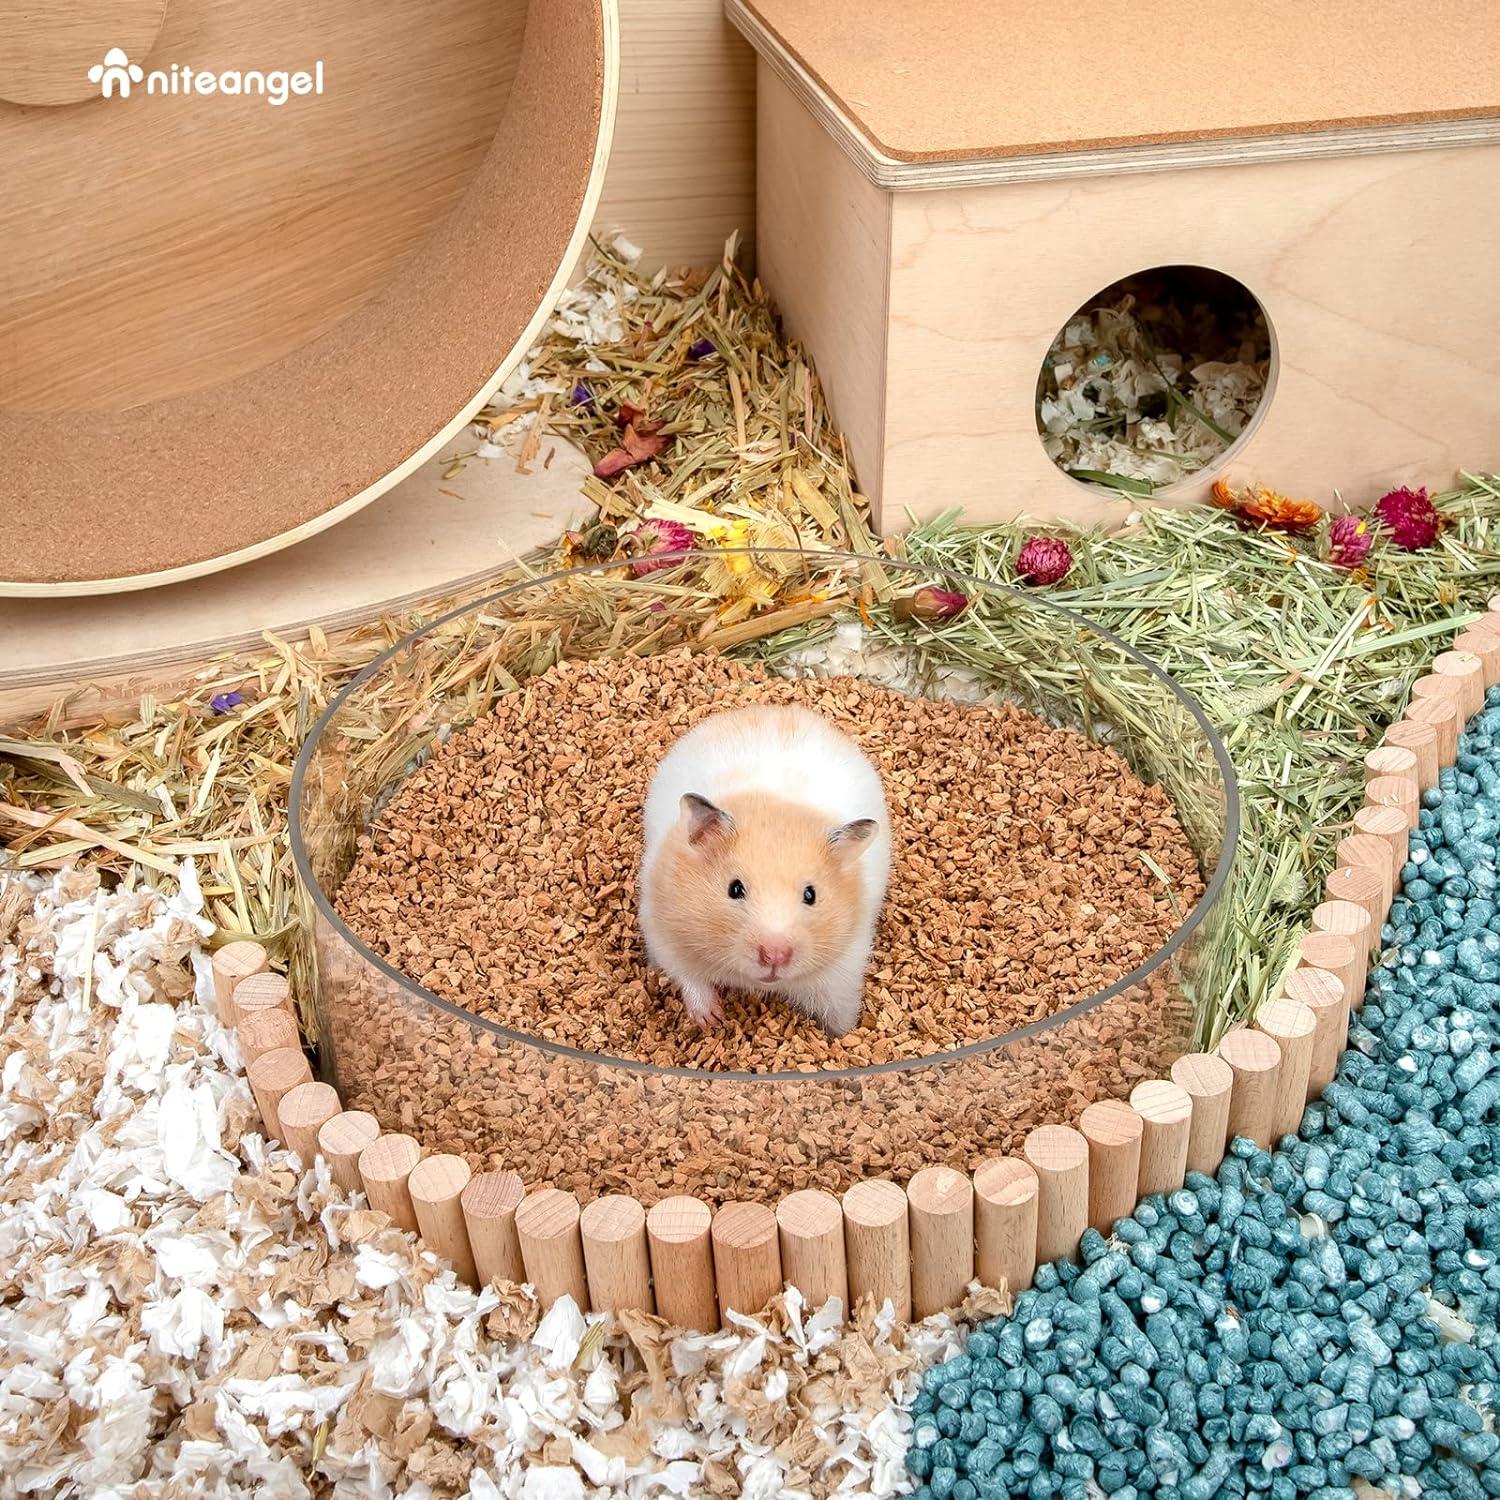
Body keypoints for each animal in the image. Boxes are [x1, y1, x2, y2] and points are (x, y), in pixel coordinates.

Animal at [639, 704, 890, 1037]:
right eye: (734, 889)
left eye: (810, 895)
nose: (775, 956)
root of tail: (772, 708)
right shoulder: (665, 934)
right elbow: (690, 979)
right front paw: (712, 1020)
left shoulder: (843, 969)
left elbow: (839, 1012)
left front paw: (843, 1035)